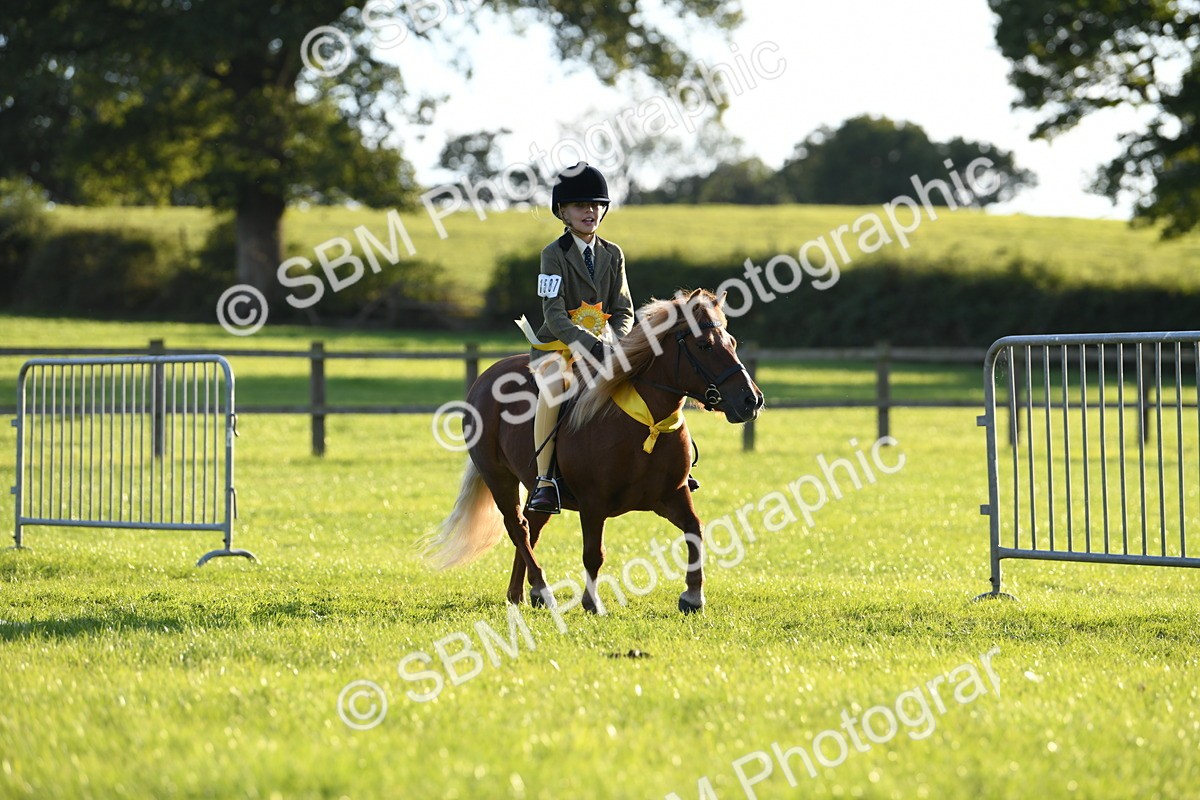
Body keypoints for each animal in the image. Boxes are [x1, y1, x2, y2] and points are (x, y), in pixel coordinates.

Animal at [423, 289, 764, 613]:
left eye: (732, 342)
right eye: (705, 346)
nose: (751, 400)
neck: (646, 423)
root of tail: (487, 376)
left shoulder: (672, 495)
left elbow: (695, 531)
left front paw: (692, 597)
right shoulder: (593, 503)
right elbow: (593, 554)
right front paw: (592, 603)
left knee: (531, 527)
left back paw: (521, 593)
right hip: (498, 477)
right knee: (517, 528)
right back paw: (542, 590)